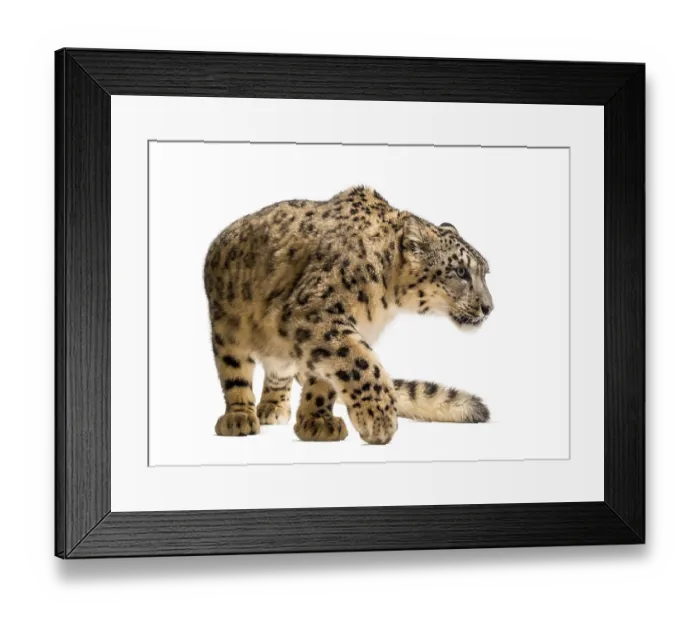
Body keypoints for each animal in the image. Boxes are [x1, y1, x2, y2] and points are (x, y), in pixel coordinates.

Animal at [204, 185, 494, 445]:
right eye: (460, 272)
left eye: (485, 272)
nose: (489, 307)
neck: (386, 300)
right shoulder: (315, 312)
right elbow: (360, 364)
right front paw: (380, 419)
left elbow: (328, 376)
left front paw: (317, 422)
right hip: (228, 330)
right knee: (235, 373)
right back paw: (239, 418)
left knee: (279, 372)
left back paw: (273, 408)